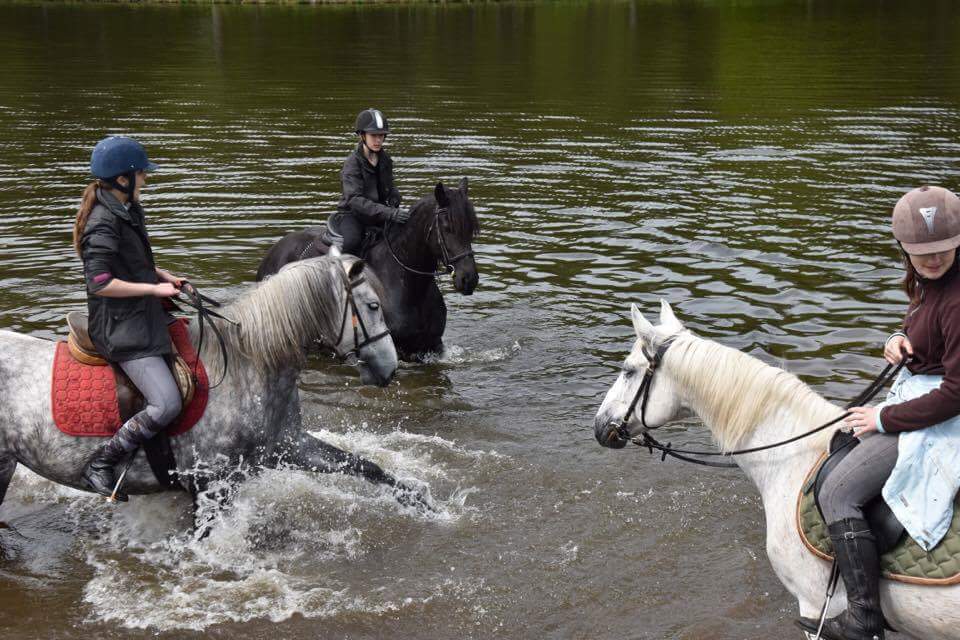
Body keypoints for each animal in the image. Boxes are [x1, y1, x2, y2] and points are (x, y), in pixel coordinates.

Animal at [0, 254, 428, 520]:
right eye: (373, 306)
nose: (389, 367)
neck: (248, 364)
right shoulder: (213, 486)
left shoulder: (288, 448)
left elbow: (366, 467)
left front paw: (423, 502)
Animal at [256, 180, 478, 360]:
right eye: (447, 227)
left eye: (471, 229)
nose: (469, 279)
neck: (406, 286)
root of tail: (274, 252)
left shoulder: (432, 346)